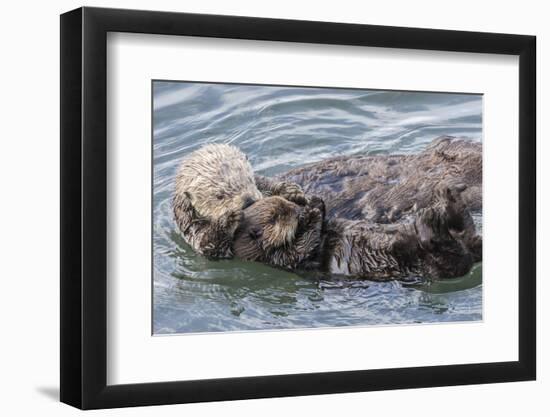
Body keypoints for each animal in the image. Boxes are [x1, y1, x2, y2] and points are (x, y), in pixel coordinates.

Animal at [174, 145, 306, 258]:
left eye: (248, 179)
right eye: (219, 196)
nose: (249, 201)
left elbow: (264, 182)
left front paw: (292, 192)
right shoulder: (192, 227)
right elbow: (208, 245)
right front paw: (229, 219)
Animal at [235, 183, 480, 278]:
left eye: (286, 205)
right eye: (277, 217)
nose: (297, 211)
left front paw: (312, 202)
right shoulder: (284, 259)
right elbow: (304, 247)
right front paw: (314, 210)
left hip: (465, 242)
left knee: (469, 234)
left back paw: (448, 197)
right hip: (429, 264)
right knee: (448, 255)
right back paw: (430, 220)